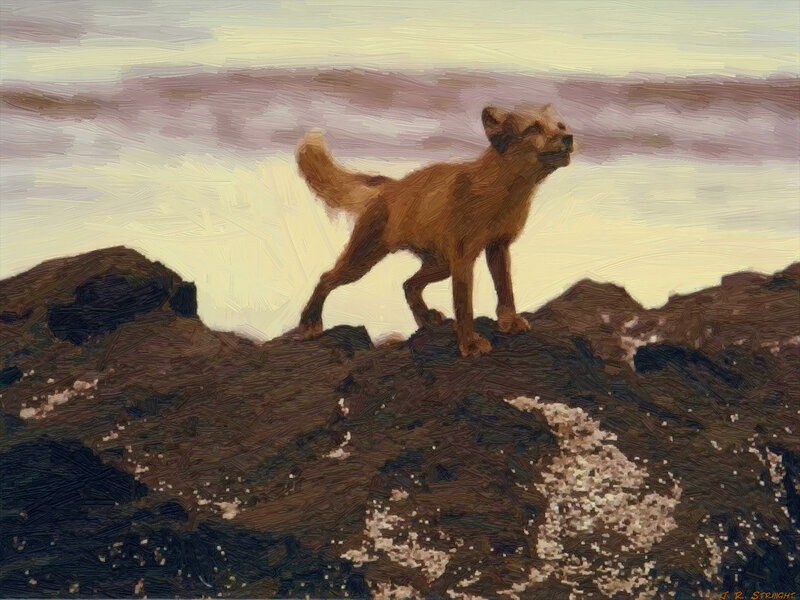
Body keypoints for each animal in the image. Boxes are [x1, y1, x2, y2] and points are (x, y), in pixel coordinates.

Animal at [293, 104, 574, 357]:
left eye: (560, 126)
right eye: (534, 128)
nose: (569, 137)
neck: (499, 195)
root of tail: (390, 186)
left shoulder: (498, 247)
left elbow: (505, 290)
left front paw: (508, 323)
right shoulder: (463, 258)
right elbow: (464, 307)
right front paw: (469, 345)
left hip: (440, 265)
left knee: (408, 284)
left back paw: (426, 319)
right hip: (362, 261)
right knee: (326, 278)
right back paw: (309, 324)